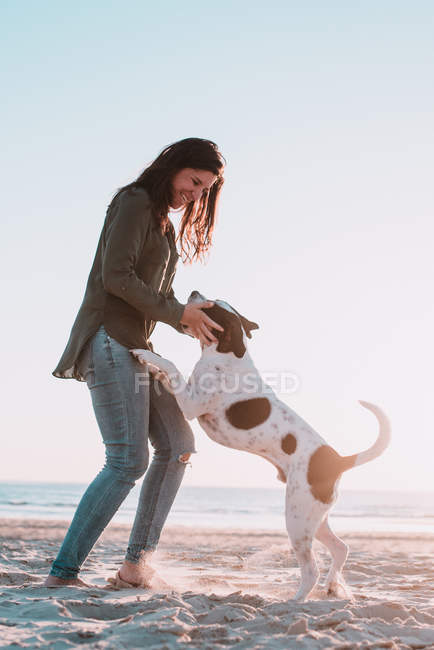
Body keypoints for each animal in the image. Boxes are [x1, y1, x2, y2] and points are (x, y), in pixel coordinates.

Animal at [131, 292, 392, 600]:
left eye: (212, 306)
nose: (194, 291)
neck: (227, 352)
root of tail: (338, 460)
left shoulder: (191, 404)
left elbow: (171, 366)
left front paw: (146, 355)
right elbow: (168, 371)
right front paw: (151, 366)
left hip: (297, 519)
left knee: (312, 570)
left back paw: (296, 600)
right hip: (315, 518)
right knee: (342, 548)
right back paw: (331, 586)